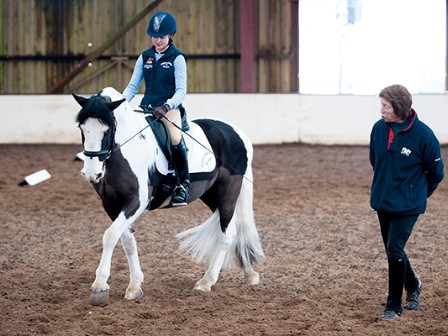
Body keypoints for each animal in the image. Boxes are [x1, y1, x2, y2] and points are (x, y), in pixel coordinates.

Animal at [72, 86, 264, 304]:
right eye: (82, 128)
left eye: (108, 130)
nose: (91, 173)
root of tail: (237, 132)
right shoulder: (111, 205)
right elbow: (126, 240)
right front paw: (135, 285)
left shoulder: (136, 202)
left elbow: (111, 235)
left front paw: (100, 285)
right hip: (211, 195)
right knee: (236, 229)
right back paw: (249, 274)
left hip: (228, 193)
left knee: (227, 234)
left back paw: (206, 282)